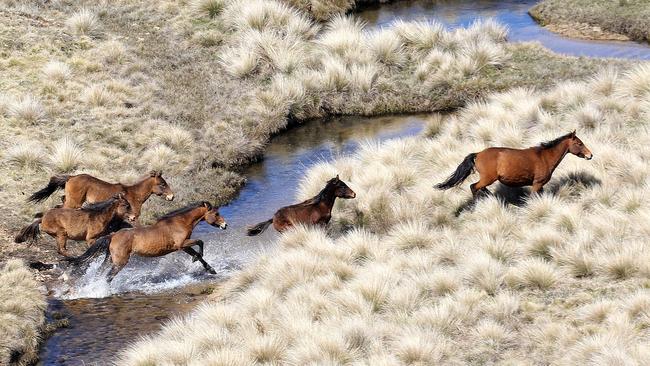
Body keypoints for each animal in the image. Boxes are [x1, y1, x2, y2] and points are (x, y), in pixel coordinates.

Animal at [27, 170, 173, 222]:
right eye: (162, 184)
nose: (172, 197)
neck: (134, 194)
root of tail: (71, 177)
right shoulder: (133, 216)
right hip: (74, 202)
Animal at [67, 202, 227, 282]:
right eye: (216, 214)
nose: (225, 225)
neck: (179, 223)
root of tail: (113, 235)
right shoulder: (182, 244)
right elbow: (200, 242)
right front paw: (199, 261)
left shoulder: (183, 247)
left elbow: (199, 255)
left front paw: (211, 270)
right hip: (120, 262)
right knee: (108, 277)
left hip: (110, 259)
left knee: (100, 272)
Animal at [432, 131, 588, 197]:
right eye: (580, 143)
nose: (590, 155)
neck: (544, 157)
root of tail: (478, 154)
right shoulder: (536, 184)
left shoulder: (540, 185)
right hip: (487, 178)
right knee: (473, 187)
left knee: (480, 188)